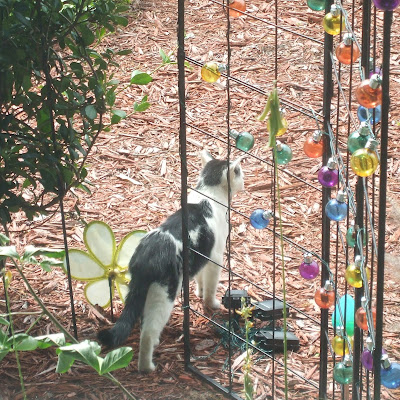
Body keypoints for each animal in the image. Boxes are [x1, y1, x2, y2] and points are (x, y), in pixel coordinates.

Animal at [98, 150, 245, 372]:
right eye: (239, 172)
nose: (245, 180)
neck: (208, 195)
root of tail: (147, 254)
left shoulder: (202, 254)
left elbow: (200, 279)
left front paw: (198, 291)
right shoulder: (215, 256)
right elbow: (211, 287)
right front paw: (211, 303)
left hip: (139, 289)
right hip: (164, 293)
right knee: (148, 331)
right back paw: (147, 366)